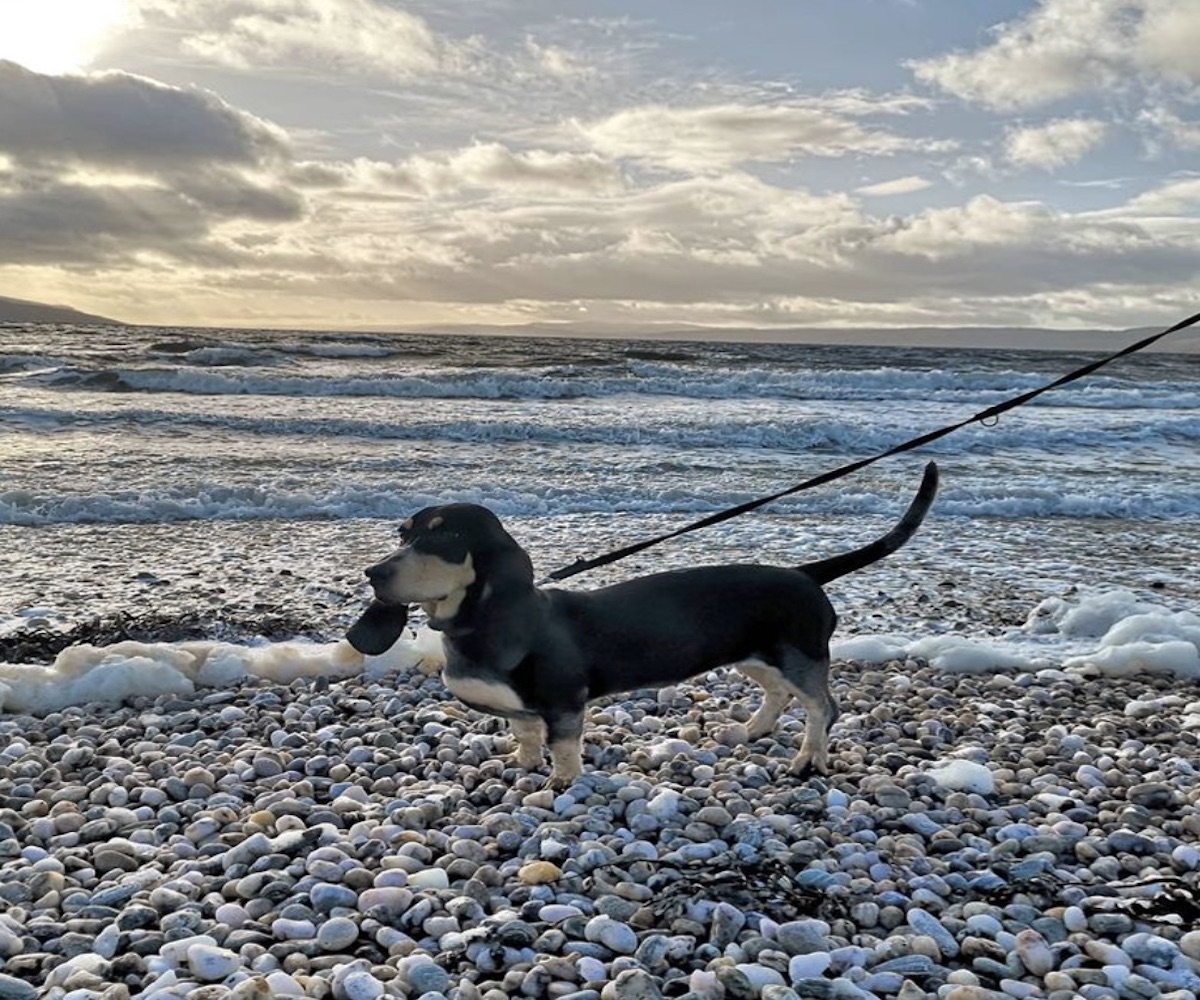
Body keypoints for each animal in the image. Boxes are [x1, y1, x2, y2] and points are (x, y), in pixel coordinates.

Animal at [348, 463, 936, 787]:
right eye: (404, 533)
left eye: (446, 539)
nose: (374, 573)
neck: (476, 625)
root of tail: (804, 573)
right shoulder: (524, 711)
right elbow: (526, 735)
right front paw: (525, 764)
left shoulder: (565, 705)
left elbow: (564, 748)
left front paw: (559, 784)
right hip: (755, 656)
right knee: (778, 695)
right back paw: (752, 730)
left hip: (800, 656)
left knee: (822, 708)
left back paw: (808, 759)